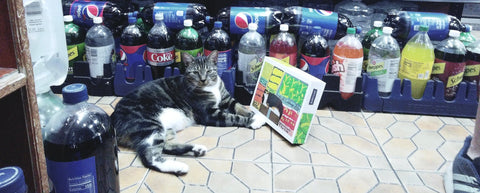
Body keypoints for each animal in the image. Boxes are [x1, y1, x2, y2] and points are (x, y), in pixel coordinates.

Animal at [110, 50, 264, 174]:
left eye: (209, 71)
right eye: (195, 72)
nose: (203, 79)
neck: (211, 87)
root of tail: (113, 117)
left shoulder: (227, 99)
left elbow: (239, 106)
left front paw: (254, 114)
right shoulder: (209, 113)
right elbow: (233, 117)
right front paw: (253, 120)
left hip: (165, 130)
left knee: (166, 146)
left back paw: (197, 149)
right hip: (149, 125)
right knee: (150, 157)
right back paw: (179, 166)